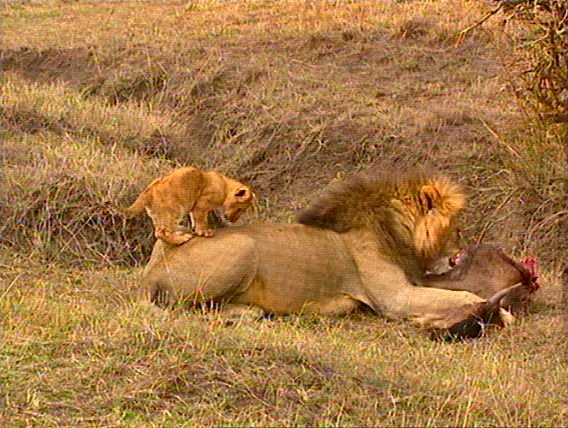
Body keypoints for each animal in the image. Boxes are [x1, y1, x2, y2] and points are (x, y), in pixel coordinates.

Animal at [122, 168, 255, 247]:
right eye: (240, 209)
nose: (233, 221)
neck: (225, 186)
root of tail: (148, 191)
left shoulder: (194, 206)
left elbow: (194, 218)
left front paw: (195, 229)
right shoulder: (202, 203)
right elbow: (201, 219)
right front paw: (205, 232)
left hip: (157, 215)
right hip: (174, 210)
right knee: (160, 233)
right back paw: (182, 239)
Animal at [139, 167, 520, 338]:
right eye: (456, 229)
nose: (460, 253)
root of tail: (151, 273)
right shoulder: (395, 298)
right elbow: (465, 295)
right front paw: (502, 315)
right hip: (241, 246)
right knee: (184, 309)